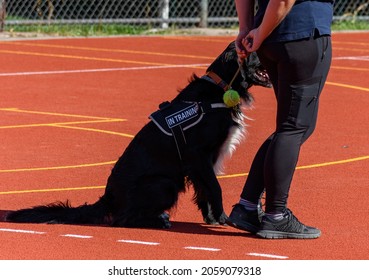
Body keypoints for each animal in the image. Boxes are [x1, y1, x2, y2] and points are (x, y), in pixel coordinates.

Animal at [5, 42, 270, 230]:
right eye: (258, 51)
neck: (219, 90)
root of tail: (108, 198)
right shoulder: (198, 155)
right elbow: (215, 187)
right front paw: (223, 217)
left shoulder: (204, 161)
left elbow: (205, 190)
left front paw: (212, 217)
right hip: (164, 184)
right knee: (123, 219)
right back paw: (157, 221)